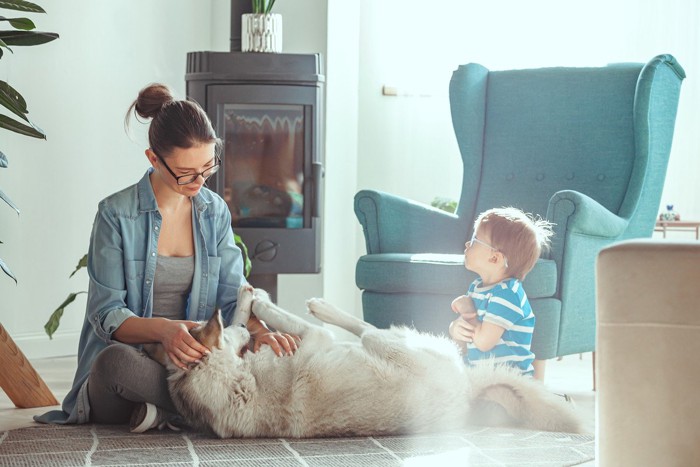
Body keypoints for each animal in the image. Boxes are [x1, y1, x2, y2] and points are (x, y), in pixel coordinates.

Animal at [144, 286, 580, 438]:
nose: (245, 334)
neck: (233, 383)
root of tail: (466, 395)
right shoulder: (316, 338)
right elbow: (284, 320)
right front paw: (252, 302)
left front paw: (249, 301)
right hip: (384, 341)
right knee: (362, 326)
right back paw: (320, 304)